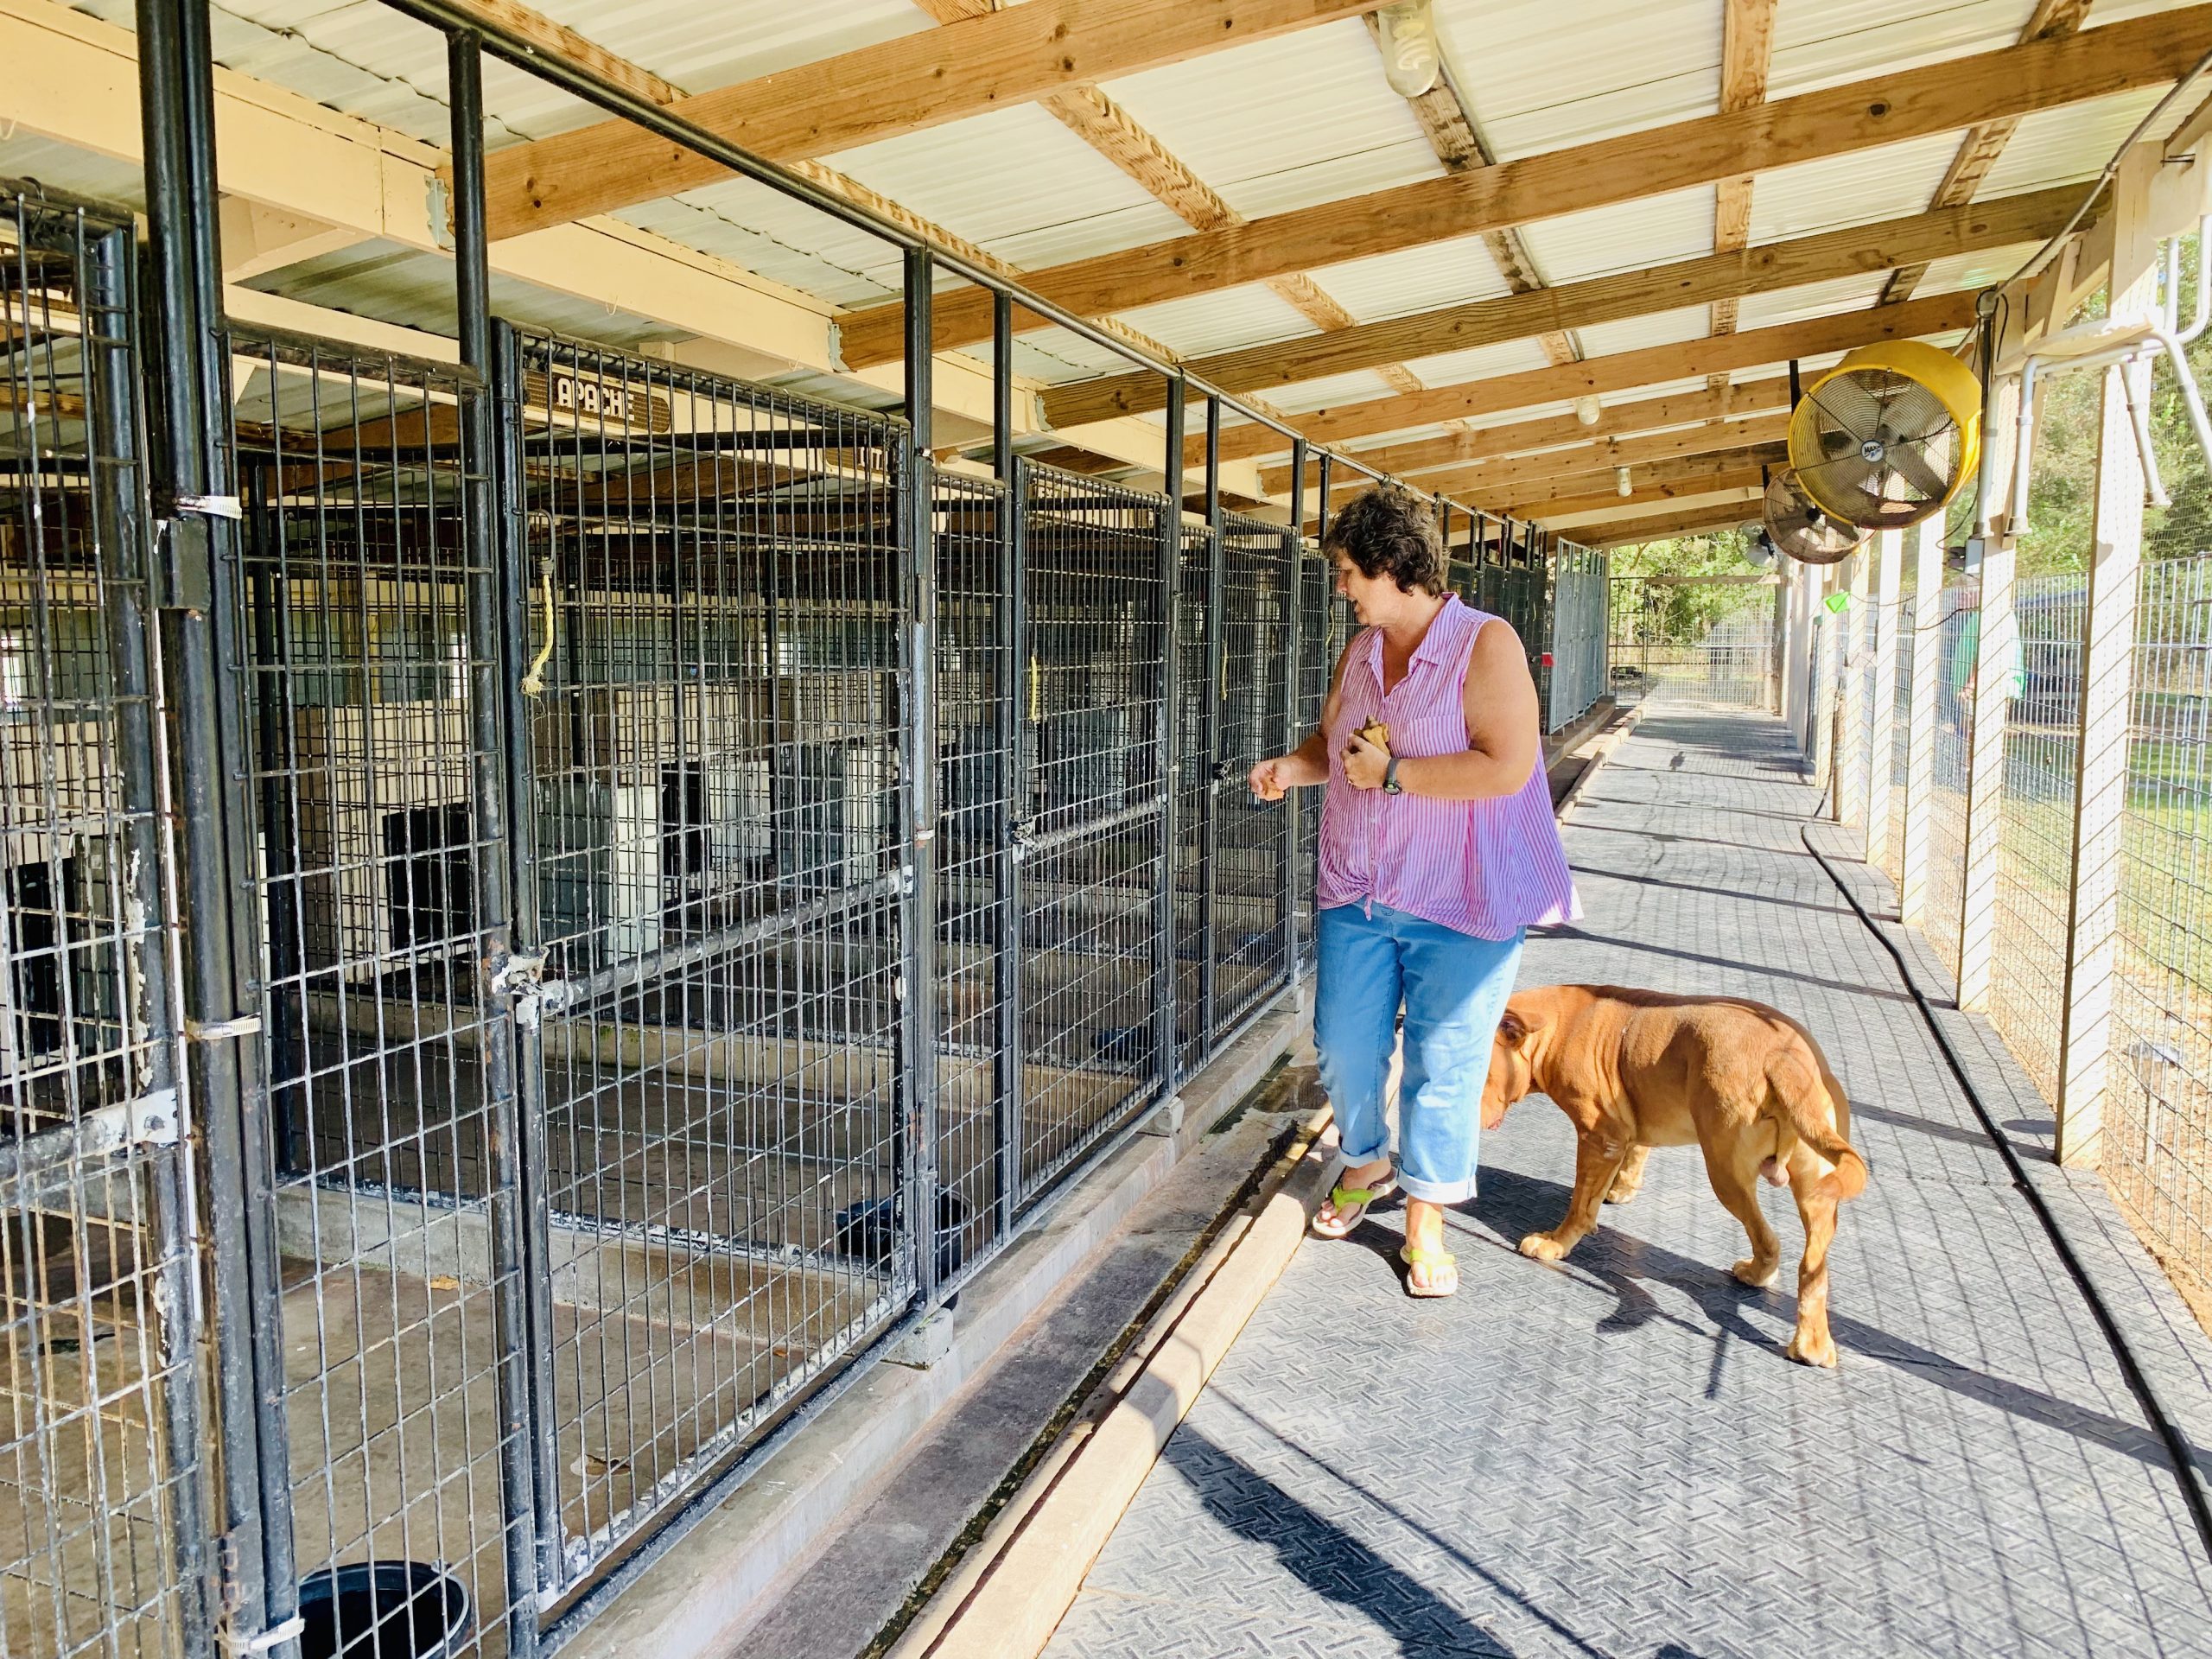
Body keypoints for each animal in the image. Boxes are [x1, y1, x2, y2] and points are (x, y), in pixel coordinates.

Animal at [1486, 986, 1866, 1362]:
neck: (1557, 1024)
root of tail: (1783, 1058)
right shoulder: (1632, 1123)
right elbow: (1638, 1150)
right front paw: (1622, 1186)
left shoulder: (1599, 1136)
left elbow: (1581, 1205)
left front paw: (1556, 1242)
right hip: (1816, 1193)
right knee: (1812, 1269)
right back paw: (1811, 1344)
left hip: (1726, 1171)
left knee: (1767, 1239)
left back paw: (1759, 1277)